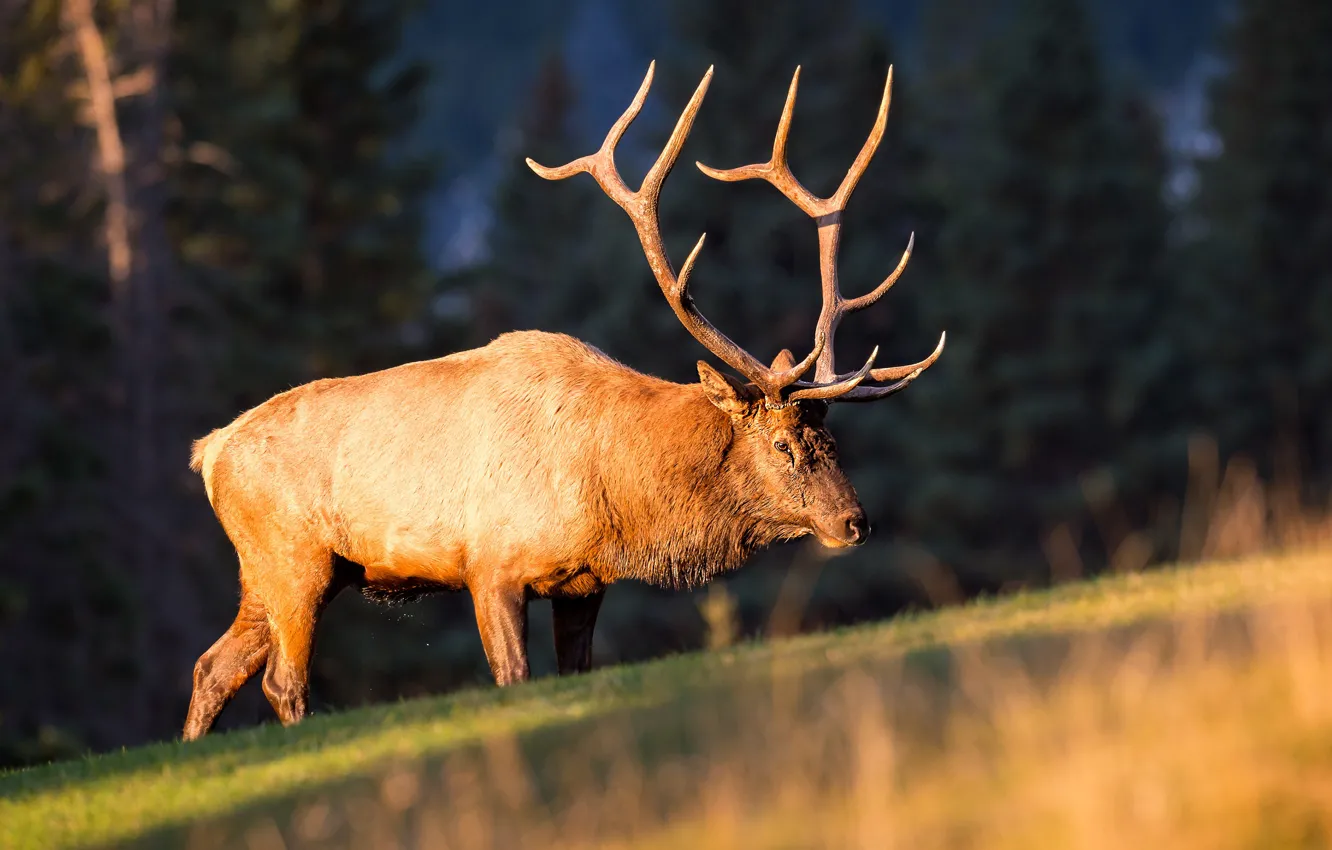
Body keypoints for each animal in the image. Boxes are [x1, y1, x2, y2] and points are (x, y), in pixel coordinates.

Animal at [181, 61, 944, 740]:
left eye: (833, 440)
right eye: (784, 443)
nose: (854, 522)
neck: (614, 489)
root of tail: (207, 452)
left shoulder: (585, 583)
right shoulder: (491, 565)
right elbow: (512, 680)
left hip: (278, 572)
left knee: (212, 666)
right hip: (294, 559)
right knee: (282, 681)